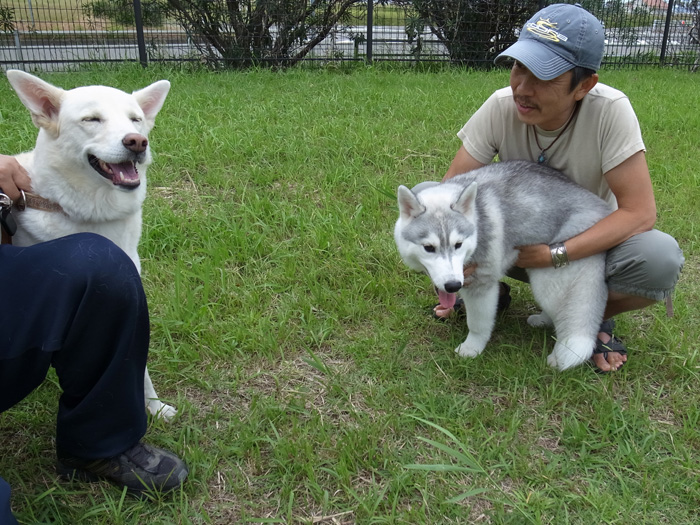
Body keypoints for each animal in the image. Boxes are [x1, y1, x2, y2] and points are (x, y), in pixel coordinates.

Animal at [394, 160, 612, 368]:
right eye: (429, 248)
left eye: (458, 244)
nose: (453, 285)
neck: (477, 221)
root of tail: (602, 209)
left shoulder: (482, 284)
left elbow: (477, 324)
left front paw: (472, 349)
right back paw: (542, 320)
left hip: (549, 277)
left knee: (565, 313)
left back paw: (559, 355)